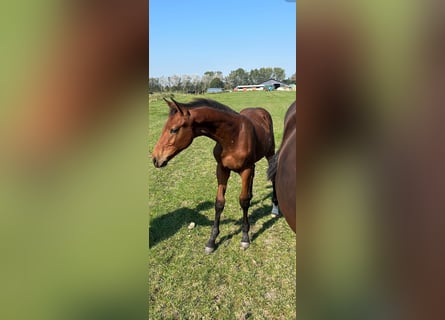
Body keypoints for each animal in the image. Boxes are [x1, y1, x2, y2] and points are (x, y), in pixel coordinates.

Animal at [153, 97, 278, 252]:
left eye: (174, 129)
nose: (156, 159)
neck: (233, 136)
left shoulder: (245, 170)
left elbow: (243, 201)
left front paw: (245, 237)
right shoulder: (222, 169)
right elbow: (219, 203)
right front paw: (212, 241)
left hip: (270, 153)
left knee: (273, 176)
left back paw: (275, 207)